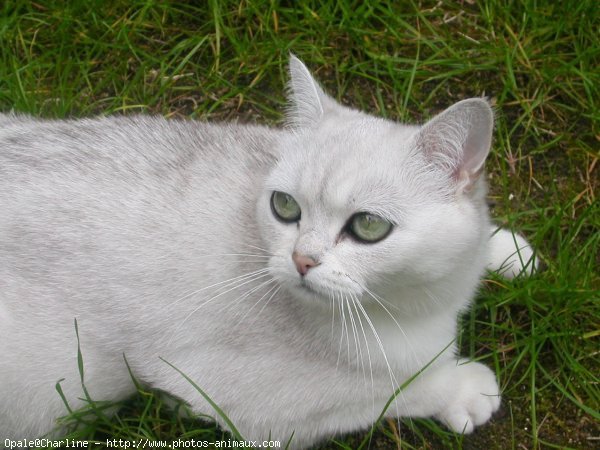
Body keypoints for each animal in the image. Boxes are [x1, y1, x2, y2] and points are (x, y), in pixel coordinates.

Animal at [0, 56, 536, 446]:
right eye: (285, 206)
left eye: (368, 226)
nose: (302, 260)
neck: (423, 302)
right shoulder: (247, 400)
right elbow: (391, 390)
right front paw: (464, 387)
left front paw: (507, 250)